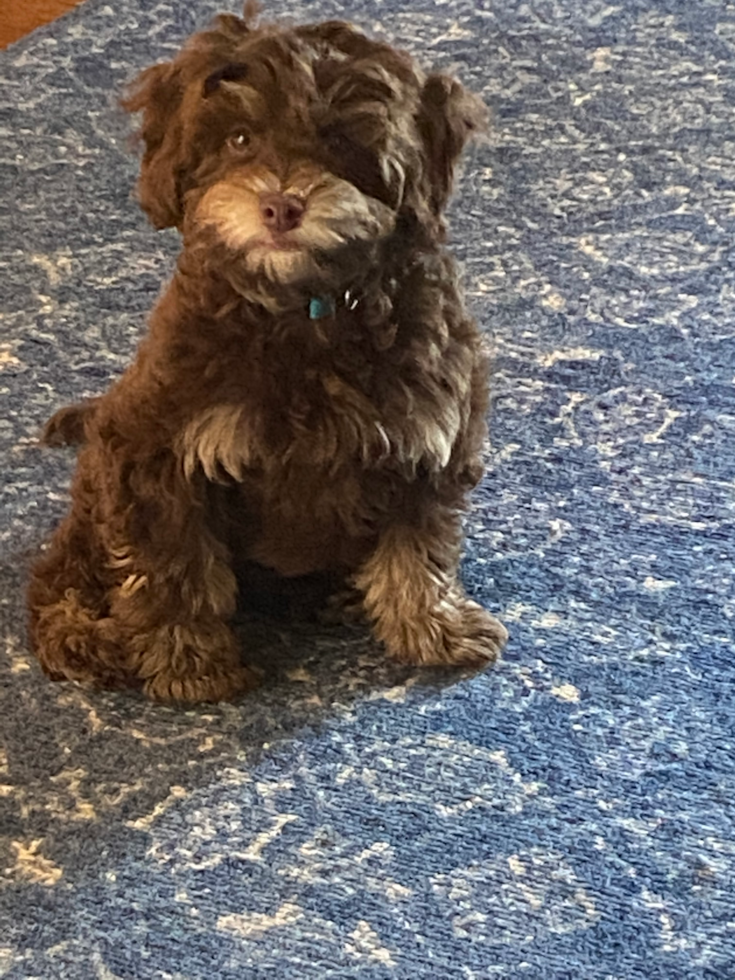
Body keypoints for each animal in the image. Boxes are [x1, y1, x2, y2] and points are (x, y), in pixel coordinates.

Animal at [30, 5, 512, 696]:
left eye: (341, 144)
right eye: (238, 140)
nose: (281, 206)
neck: (303, 309)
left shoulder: (431, 434)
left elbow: (418, 544)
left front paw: (434, 627)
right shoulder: (152, 450)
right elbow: (173, 563)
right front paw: (189, 663)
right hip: (99, 479)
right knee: (61, 573)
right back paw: (84, 634)